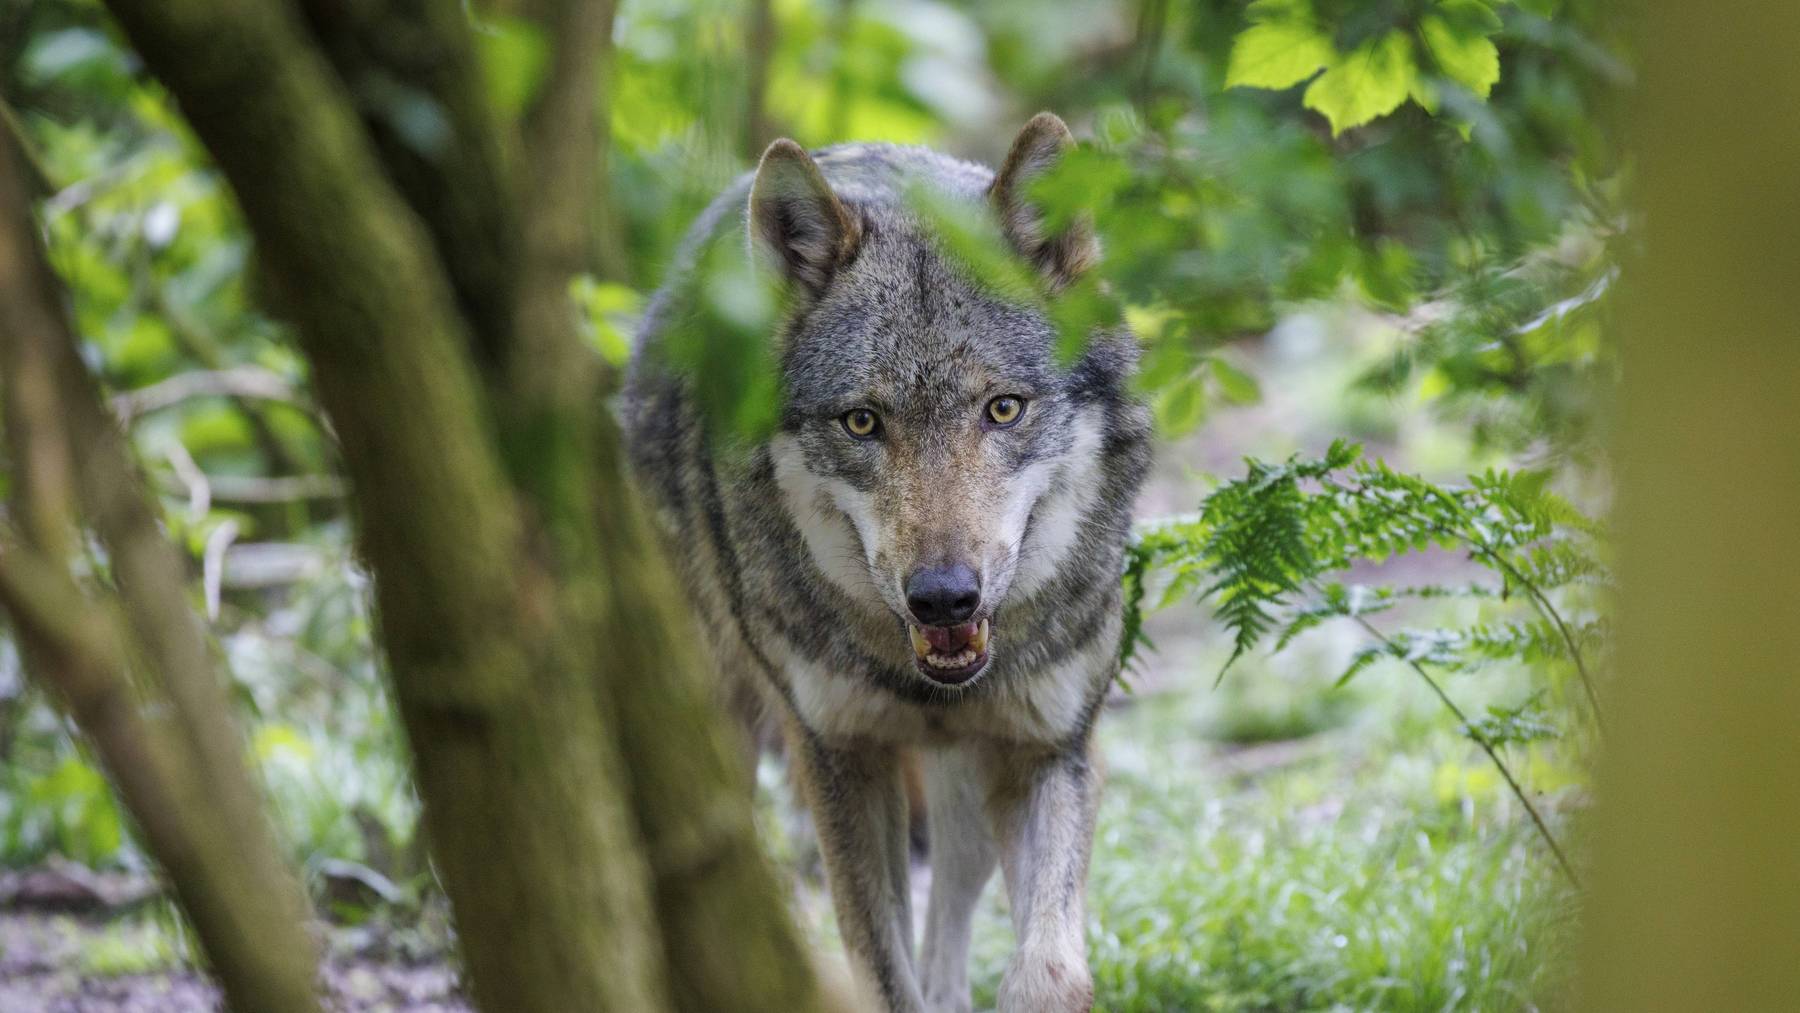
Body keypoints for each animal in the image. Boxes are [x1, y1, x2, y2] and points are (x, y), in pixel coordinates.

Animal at [626, 112, 1144, 1013]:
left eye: (1002, 408)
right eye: (863, 421)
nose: (943, 597)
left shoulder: (1050, 746)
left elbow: (1051, 968)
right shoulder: (840, 757)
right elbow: (882, 969)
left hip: (969, 776)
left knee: (953, 908)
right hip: (716, 722)